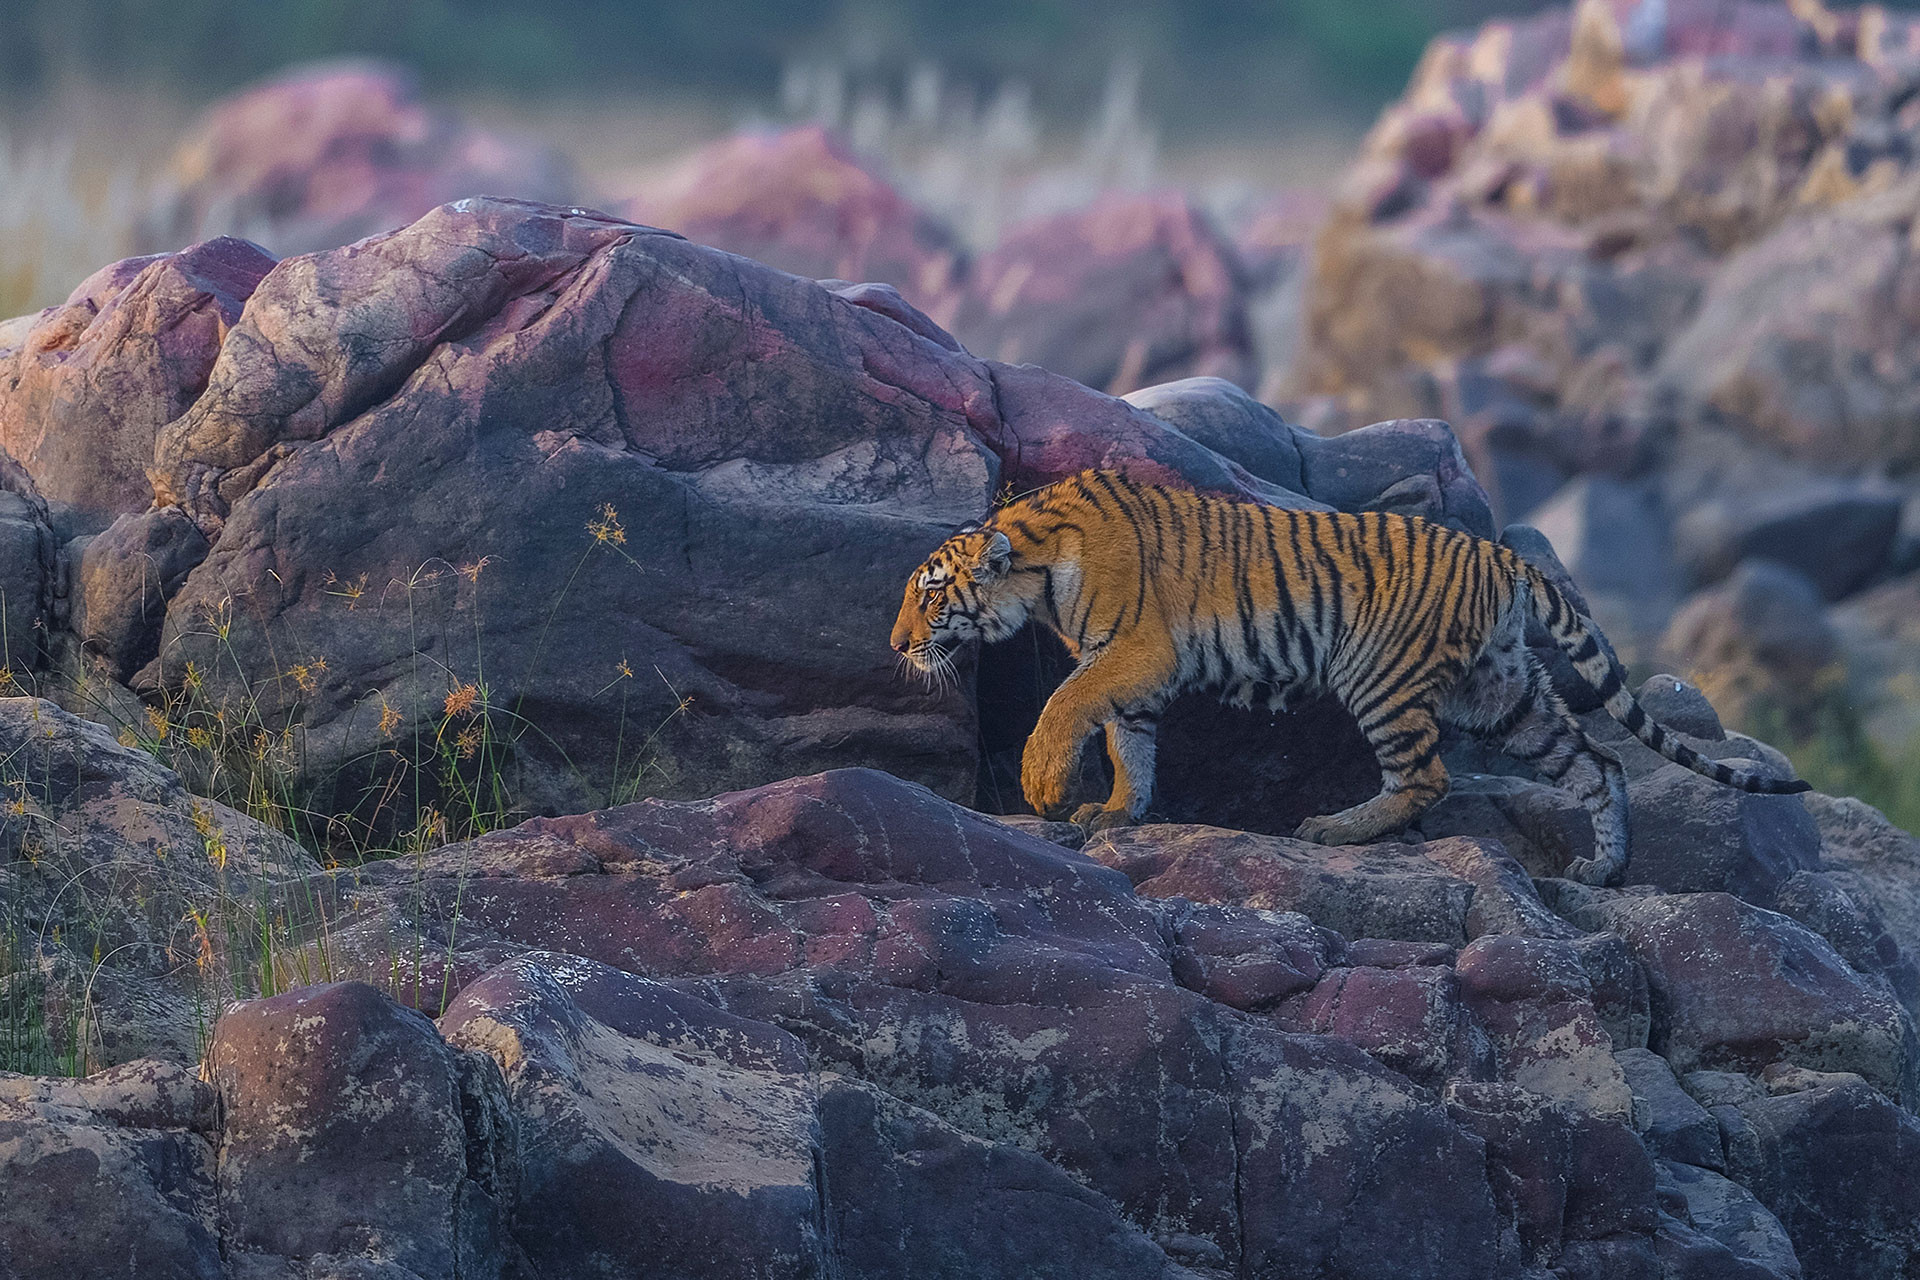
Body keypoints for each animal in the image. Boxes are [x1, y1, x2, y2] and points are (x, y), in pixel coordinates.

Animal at [889, 468, 1808, 886]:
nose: (897, 644)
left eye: (929, 594)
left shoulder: (1136, 650)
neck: (1036, 568)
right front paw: (1118, 811)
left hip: (1381, 674)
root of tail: (1500, 553)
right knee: (1599, 760)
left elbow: (1069, 702)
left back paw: (1333, 829)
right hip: (1502, 693)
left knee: (1426, 777)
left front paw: (1046, 787)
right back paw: (1604, 869)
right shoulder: (1134, 671)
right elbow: (1130, 743)